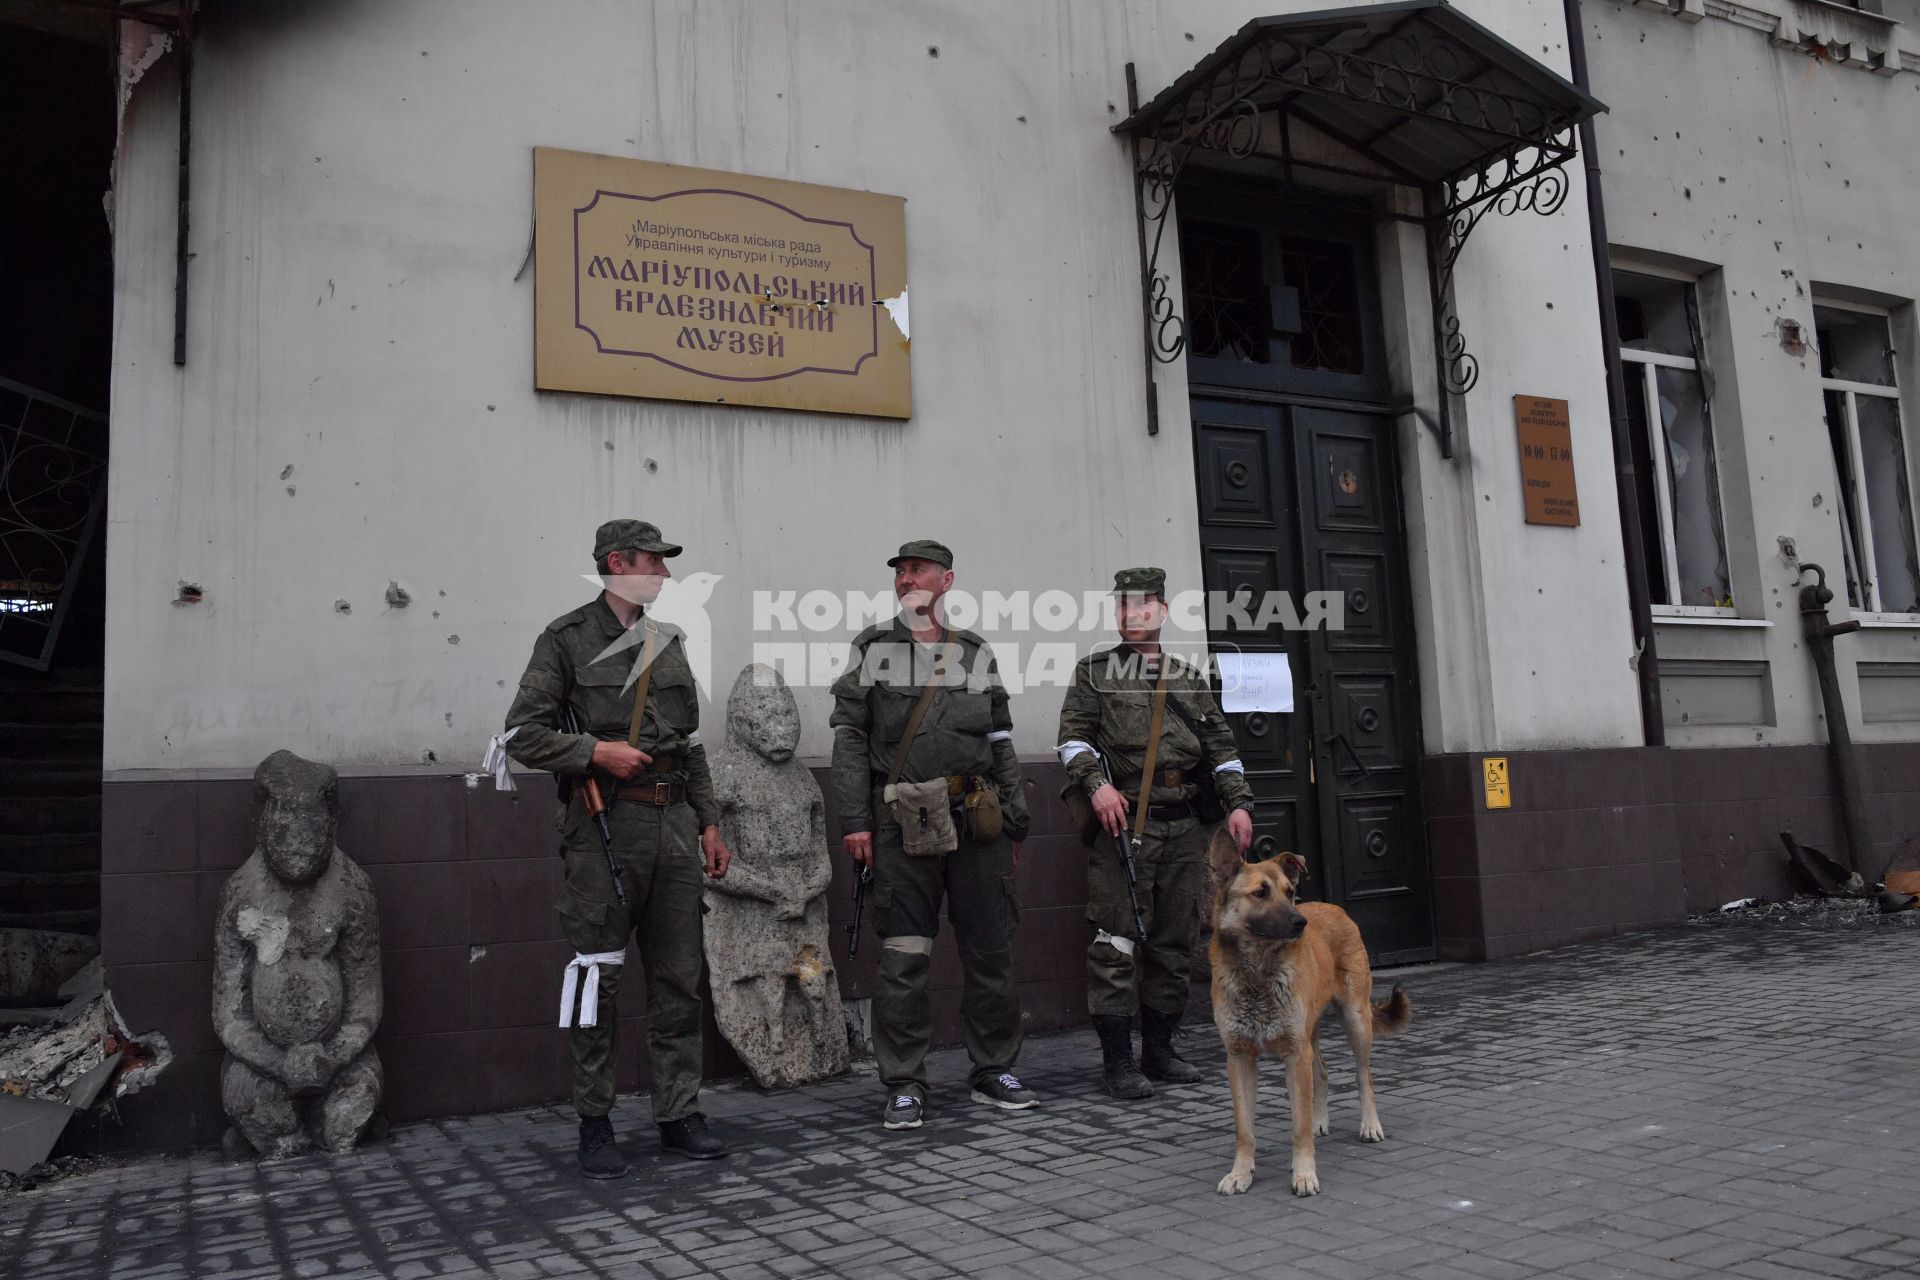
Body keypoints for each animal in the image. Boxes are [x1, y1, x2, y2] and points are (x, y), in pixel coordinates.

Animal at [1213, 832, 1413, 1205]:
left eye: (1289, 891)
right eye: (1260, 893)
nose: (1299, 923)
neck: (1257, 973)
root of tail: (1335, 907)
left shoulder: (1295, 1054)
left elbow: (1299, 1126)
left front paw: (1304, 1175)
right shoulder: (1239, 1058)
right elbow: (1244, 1130)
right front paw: (1241, 1174)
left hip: (1355, 1021)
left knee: (1364, 1076)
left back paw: (1370, 1125)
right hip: (1312, 1034)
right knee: (1322, 1070)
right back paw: (1323, 1120)